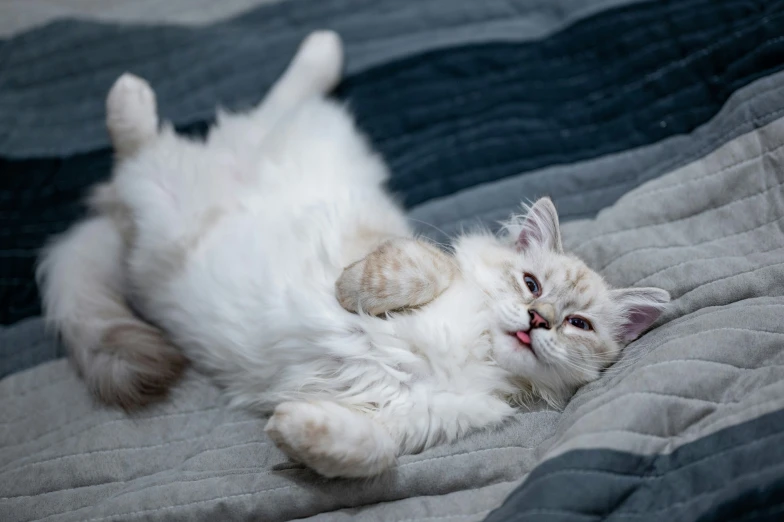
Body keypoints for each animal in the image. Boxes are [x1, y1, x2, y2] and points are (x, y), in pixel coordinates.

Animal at [36, 29, 672, 476]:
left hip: (167, 203)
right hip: (196, 173)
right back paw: (142, 88)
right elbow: (411, 268)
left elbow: (370, 451)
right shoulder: (423, 256)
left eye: (578, 324)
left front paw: (289, 429)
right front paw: (347, 293)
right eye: (531, 285)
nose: (537, 320)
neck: (473, 350)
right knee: (155, 138)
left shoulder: (415, 420)